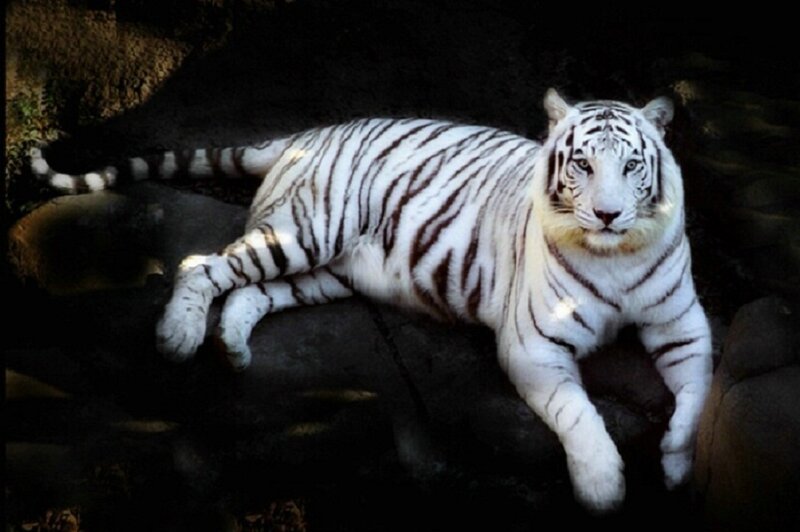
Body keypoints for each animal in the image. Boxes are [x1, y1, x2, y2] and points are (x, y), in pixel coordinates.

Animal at [29, 89, 712, 512]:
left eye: (631, 166)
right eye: (582, 166)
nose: (608, 215)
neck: (615, 256)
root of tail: (308, 132)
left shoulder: (684, 325)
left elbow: (699, 395)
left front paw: (678, 469)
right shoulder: (534, 345)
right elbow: (579, 415)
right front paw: (602, 488)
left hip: (328, 270)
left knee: (247, 292)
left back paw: (232, 350)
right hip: (308, 232)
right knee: (199, 266)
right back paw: (178, 338)